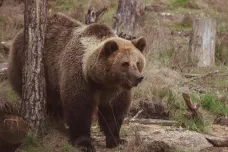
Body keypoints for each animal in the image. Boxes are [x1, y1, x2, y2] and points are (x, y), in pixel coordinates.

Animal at [7, 12, 146, 151]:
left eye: (138, 62)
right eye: (125, 64)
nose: (139, 77)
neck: (101, 80)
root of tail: (20, 32)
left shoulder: (116, 90)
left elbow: (114, 111)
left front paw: (116, 139)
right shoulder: (79, 76)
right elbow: (79, 107)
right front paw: (84, 143)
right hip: (30, 64)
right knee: (50, 98)